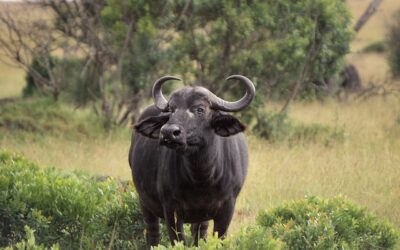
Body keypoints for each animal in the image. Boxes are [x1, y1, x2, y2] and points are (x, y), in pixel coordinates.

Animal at [128, 74, 255, 246]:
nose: (168, 132)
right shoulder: (171, 210)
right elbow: (178, 240)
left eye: (200, 109)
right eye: (172, 110)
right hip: (145, 204)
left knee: (199, 234)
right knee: (153, 235)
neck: (202, 178)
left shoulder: (227, 208)